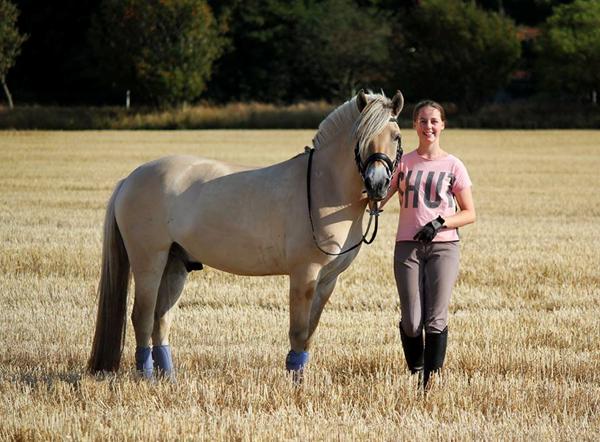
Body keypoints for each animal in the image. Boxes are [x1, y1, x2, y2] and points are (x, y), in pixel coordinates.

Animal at [88, 90, 404, 380]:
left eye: (396, 136)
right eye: (361, 138)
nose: (377, 184)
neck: (324, 188)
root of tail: (130, 178)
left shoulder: (328, 280)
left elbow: (309, 334)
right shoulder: (304, 273)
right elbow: (298, 331)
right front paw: (295, 383)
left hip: (174, 264)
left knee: (160, 320)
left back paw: (168, 380)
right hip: (148, 262)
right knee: (141, 317)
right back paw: (147, 378)